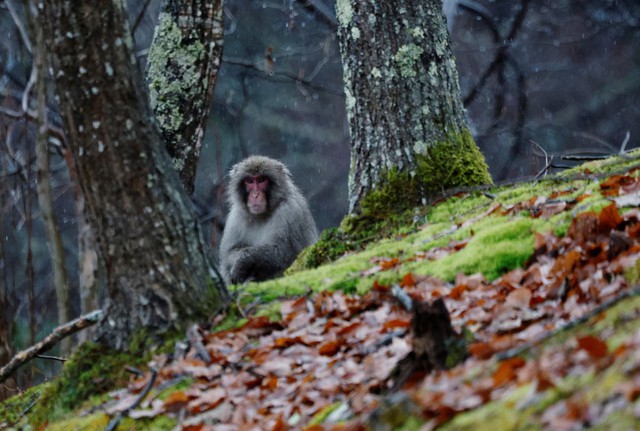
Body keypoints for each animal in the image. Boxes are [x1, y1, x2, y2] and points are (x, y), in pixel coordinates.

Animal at [219, 155, 318, 284]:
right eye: (249, 181)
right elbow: (229, 253)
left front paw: (242, 262)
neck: (261, 215)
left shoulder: (289, 211)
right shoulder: (235, 216)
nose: (255, 195)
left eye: (261, 180)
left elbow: (281, 253)